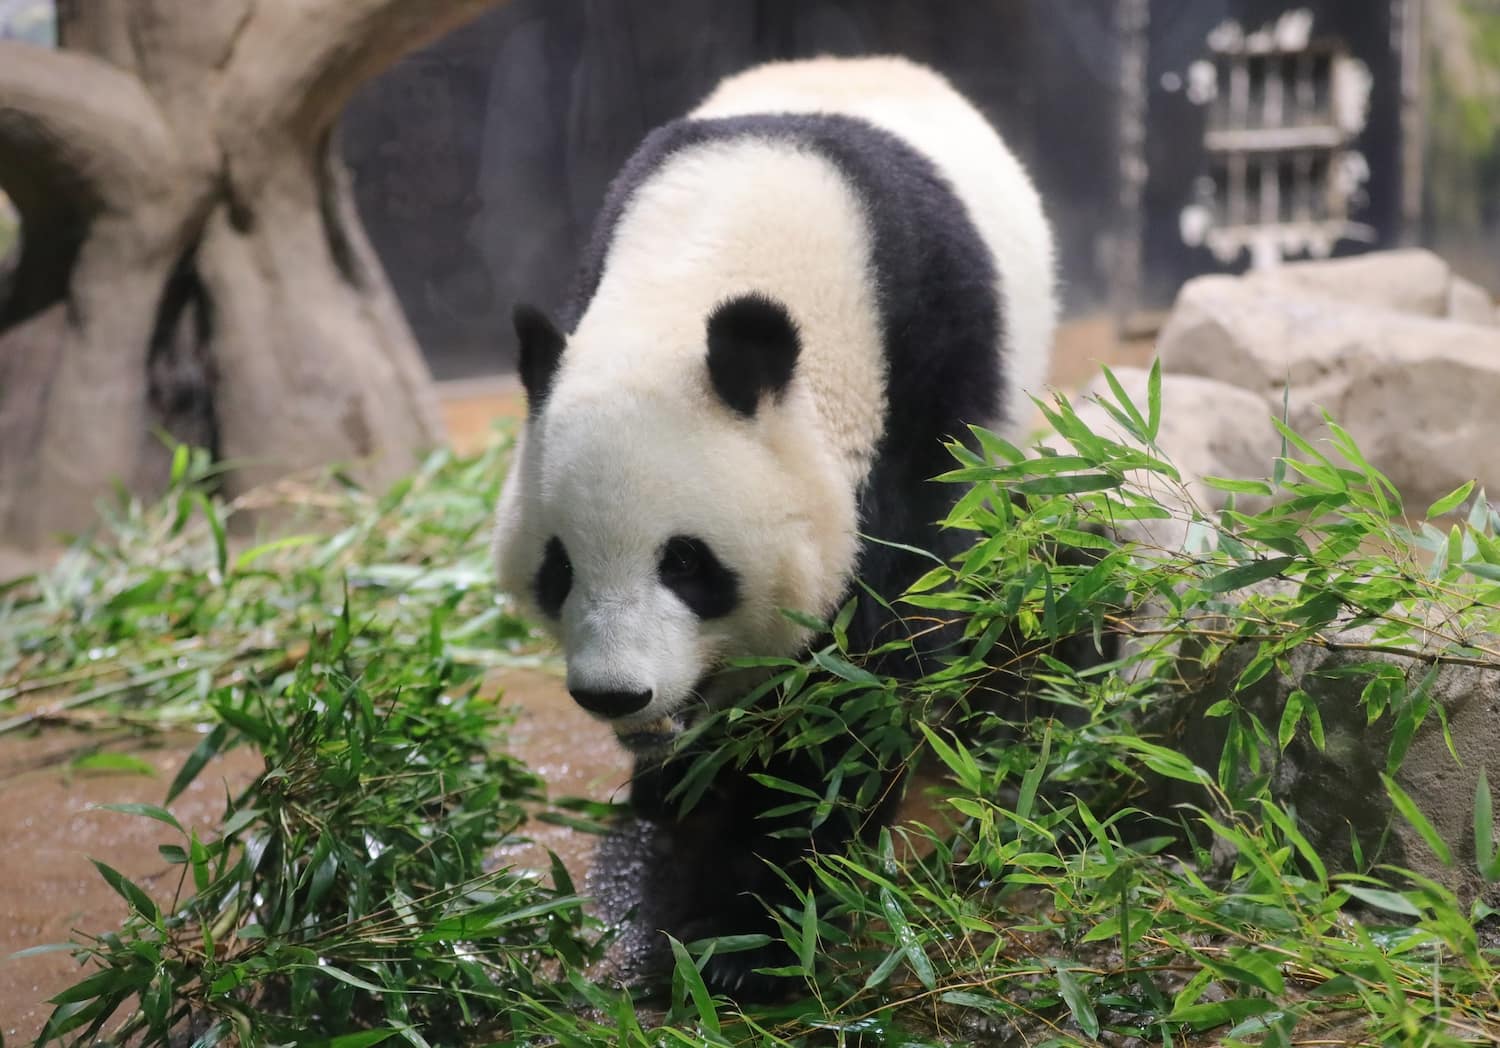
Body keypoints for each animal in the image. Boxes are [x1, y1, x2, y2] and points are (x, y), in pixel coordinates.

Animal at [495, 57, 1056, 1001]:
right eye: (558, 569)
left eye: (687, 564)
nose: (615, 694)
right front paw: (677, 809)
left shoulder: (923, 379)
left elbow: (876, 659)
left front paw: (752, 921)